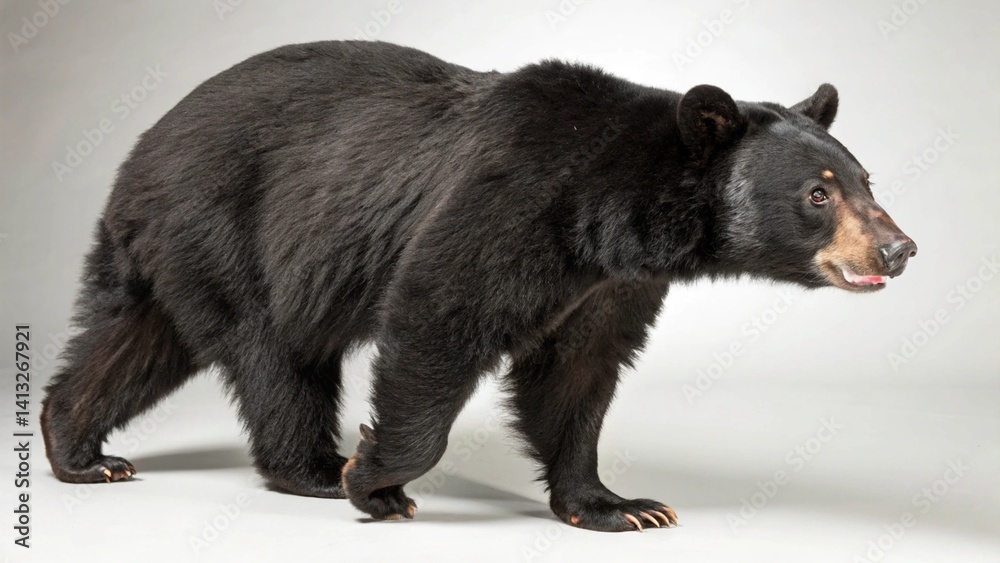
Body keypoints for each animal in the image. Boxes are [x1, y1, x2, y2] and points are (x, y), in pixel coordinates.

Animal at [41, 40, 917, 532]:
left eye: (867, 180)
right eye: (819, 193)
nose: (900, 246)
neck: (611, 210)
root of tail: (141, 150)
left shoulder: (608, 281)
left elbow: (577, 373)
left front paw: (617, 504)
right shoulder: (515, 199)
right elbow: (441, 312)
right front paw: (377, 482)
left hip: (175, 253)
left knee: (137, 338)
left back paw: (78, 448)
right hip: (232, 228)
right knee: (274, 353)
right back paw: (315, 468)